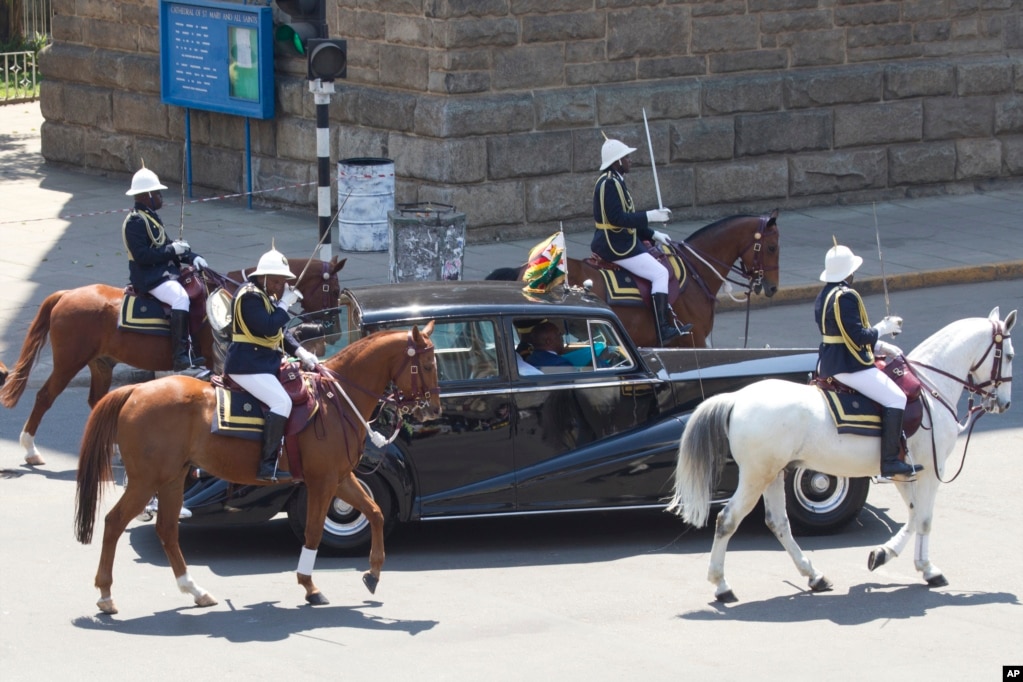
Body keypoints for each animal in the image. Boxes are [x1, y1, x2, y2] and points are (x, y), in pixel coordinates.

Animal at [0, 253, 345, 466]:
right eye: (333, 289)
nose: (334, 333)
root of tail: (66, 295)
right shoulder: (217, 361)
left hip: (101, 364)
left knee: (96, 400)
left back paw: (113, 449)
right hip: (69, 361)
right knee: (45, 396)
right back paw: (31, 449)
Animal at [72, 323, 439, 617]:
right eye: (427, 364)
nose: (432, 409)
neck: (336, 400)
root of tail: (135, 390)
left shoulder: (341, 477)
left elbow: (375, 512)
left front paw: (373, 572)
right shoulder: (321, 482)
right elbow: (314, 532)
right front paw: (310, 586)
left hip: (173, 479)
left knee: (166, 529)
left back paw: (195, 591)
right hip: (147, 480)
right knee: (114, 522)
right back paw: (106, 594)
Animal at [666, 306, 1010, 601]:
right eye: (1008, 355)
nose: (1004, 403)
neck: (929, 387)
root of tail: (736, 399)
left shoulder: (905, 472)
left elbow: (914, 516)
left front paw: (884, 555)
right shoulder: (930, 471)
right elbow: (924, 518)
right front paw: (927, 569)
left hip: (774, 475)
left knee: (778, 523)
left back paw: (814, 575)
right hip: (755, 478)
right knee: (727, 520)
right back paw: (722, 585)